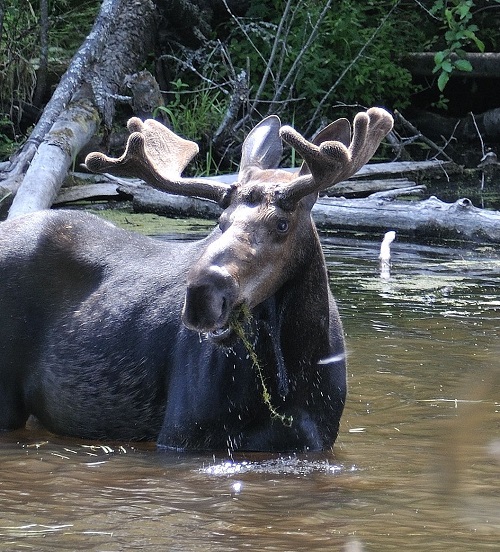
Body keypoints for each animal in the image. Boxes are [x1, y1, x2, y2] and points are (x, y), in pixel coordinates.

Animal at [0, 108, 390, 452]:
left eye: (281, 223)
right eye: (221, 221)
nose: (203, 294)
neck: (295, 373)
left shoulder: (316, 442)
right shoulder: (181, 432)